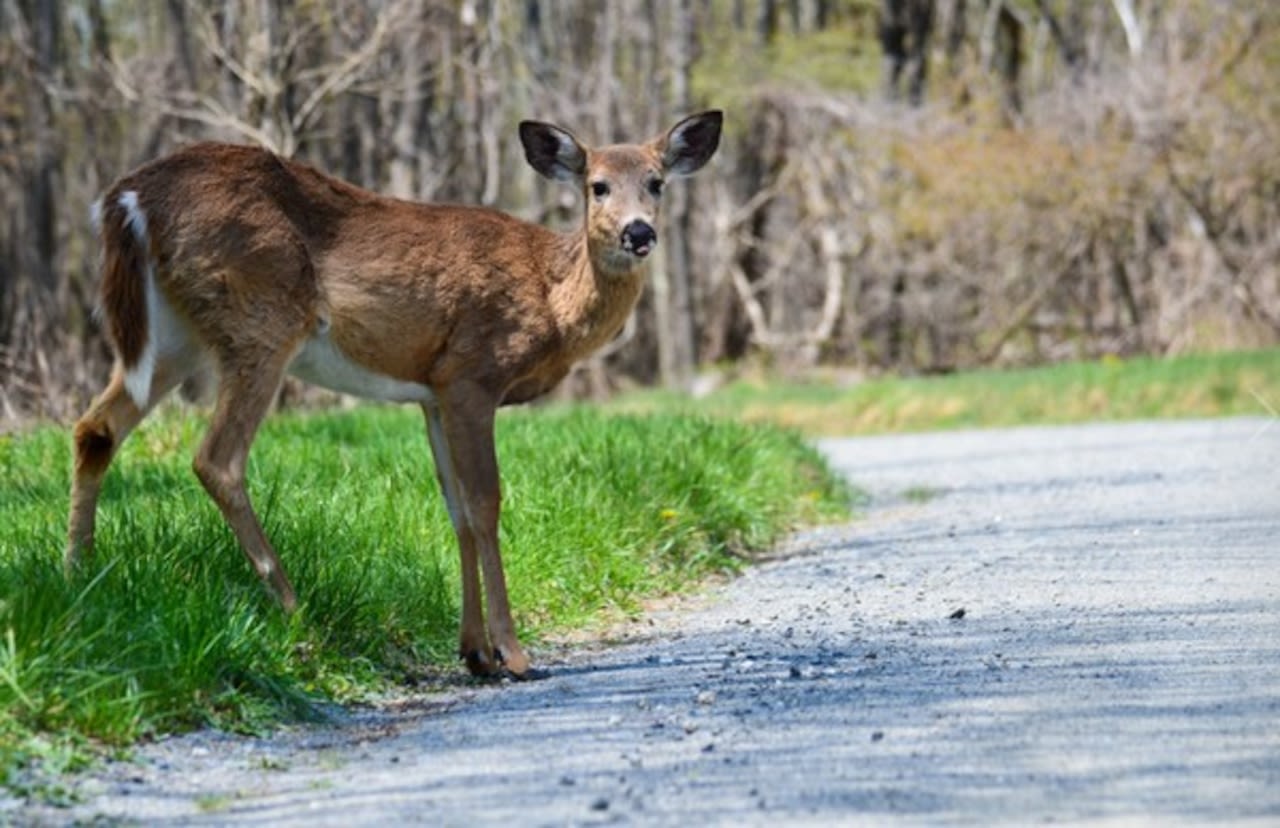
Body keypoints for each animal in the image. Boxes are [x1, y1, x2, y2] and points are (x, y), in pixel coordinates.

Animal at [67, 110, 721, 680]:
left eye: (657, 182)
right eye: (598, 186)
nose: (640, 232)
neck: (550, 294)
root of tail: (129, 199)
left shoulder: (433, 391)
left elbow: (456, 511)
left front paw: (474, 652)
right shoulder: (473, 373)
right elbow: (485, 503)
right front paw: (512, 653)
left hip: (173, 334)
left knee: (95, 429)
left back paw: (81, 580)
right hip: (260, 317)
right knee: (216, 458)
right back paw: (298, 613)